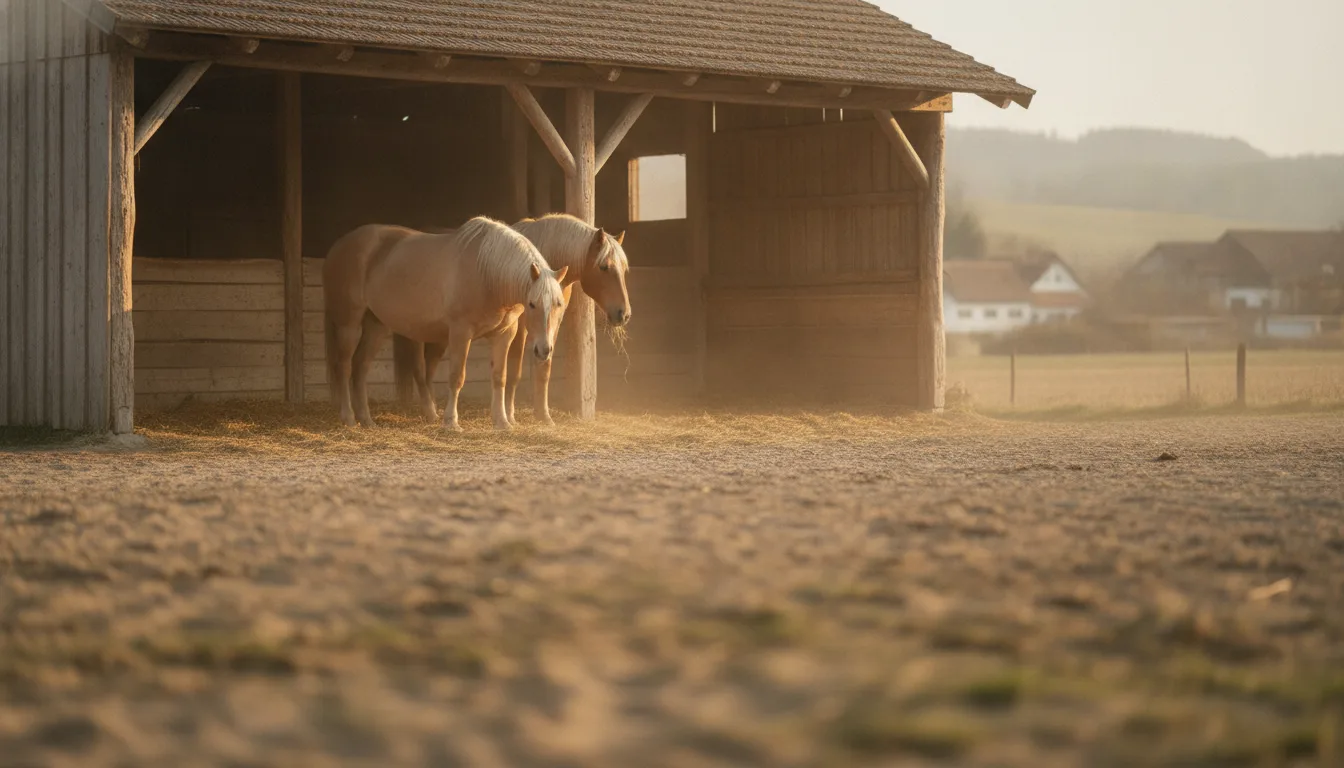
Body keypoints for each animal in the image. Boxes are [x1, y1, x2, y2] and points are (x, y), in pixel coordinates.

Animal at [322, 216, 568, 431]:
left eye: (559, 304)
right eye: (532, 304)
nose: (544, 350)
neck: (486, 273)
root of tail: (339, 244)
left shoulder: (504, 334)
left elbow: (500, 377)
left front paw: (502, 422)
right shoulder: (460, 332)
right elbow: (457, 377)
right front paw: (451, 422)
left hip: (376, 325)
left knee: (361, 367)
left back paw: (367, 420)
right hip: (349, 324)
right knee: (344, 366)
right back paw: (349, 418)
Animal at [391, 213, 632, 426]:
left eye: (625, 269)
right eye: (604, 267)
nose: (624, 313)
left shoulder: (549, 329)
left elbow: (543, 369)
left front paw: (543, 416)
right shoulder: (521, 329)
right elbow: (514, 373)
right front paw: (510, 415)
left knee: (429, 369)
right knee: (419, 368)